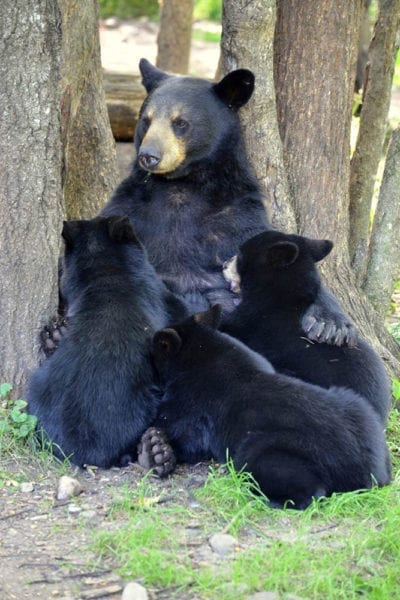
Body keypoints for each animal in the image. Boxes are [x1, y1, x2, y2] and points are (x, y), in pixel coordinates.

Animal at [98, 58, 354, 344]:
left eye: (180, 123)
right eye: (146, 120)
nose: (148, 156)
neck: (183, 185)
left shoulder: (236, 212)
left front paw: (330, 323)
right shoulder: (132, 206)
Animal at [145, 308, 390, 508]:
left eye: (157, 350)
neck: (205, 352)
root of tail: (367, 472)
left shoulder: (189, 404)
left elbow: (182, 433)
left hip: (262, 451)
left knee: (308, 490)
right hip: (358, 408)